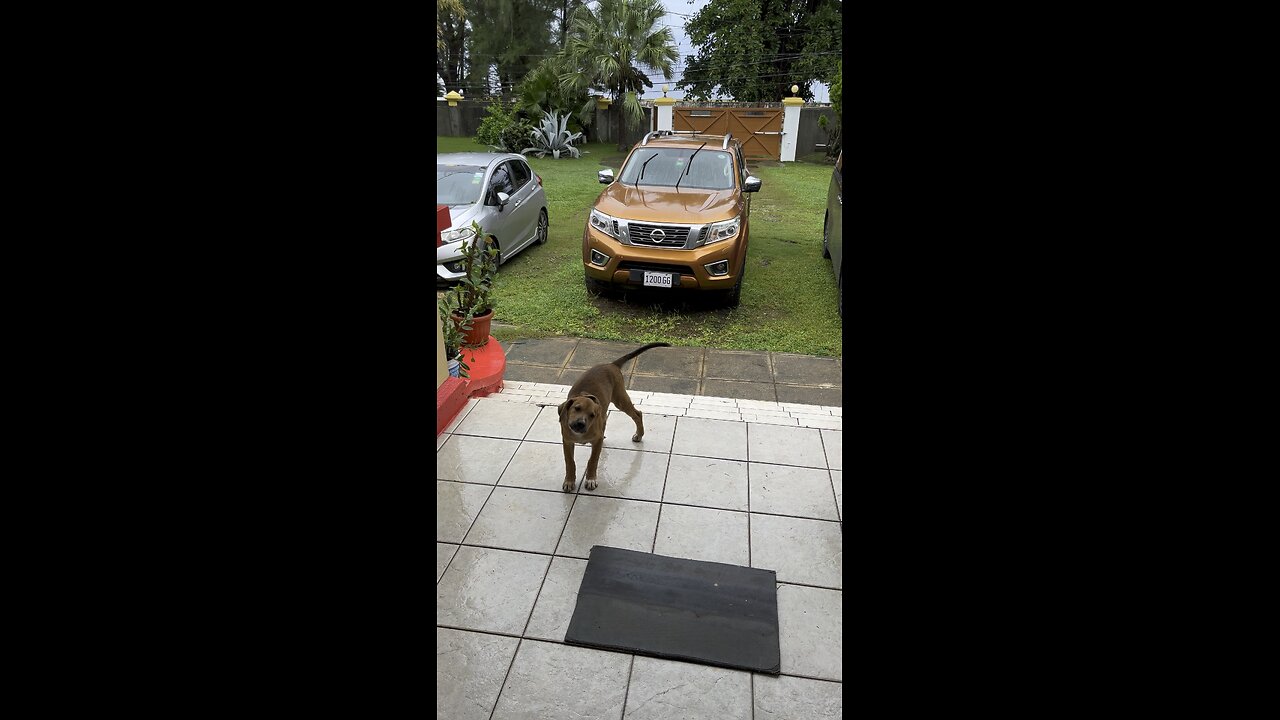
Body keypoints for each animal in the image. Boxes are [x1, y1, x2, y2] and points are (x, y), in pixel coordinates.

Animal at [563, 340, 675, 486]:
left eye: (592, 415)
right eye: (576, 408)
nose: (580, 424)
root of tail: (612, 364)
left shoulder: (595, 441)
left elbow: (593, 460)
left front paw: (591, 479)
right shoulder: (567, 441)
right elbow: (569, 462)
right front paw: (569, 481)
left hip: (620, 398)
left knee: (637, 414)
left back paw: (639, 435)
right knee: (606, 418)